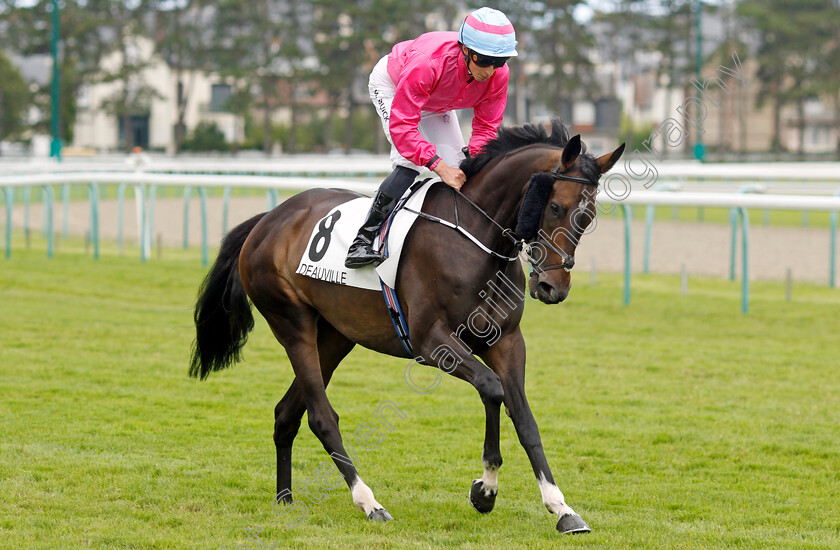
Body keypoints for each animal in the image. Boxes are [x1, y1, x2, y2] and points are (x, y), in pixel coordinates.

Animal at [190, 118, 624, 536]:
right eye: (555, 207)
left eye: (588, 217)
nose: (553, 287)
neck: (474, 236)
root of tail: (268, 219)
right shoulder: (432, 343)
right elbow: (492, 389)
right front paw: (485, 489)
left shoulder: (507, 341)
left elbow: (524, 417)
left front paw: (561, 508)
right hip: (291, 322)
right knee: (321, 417)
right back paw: (368, 502)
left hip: (334, 336)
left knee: (287, 412)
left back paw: (285, 499)